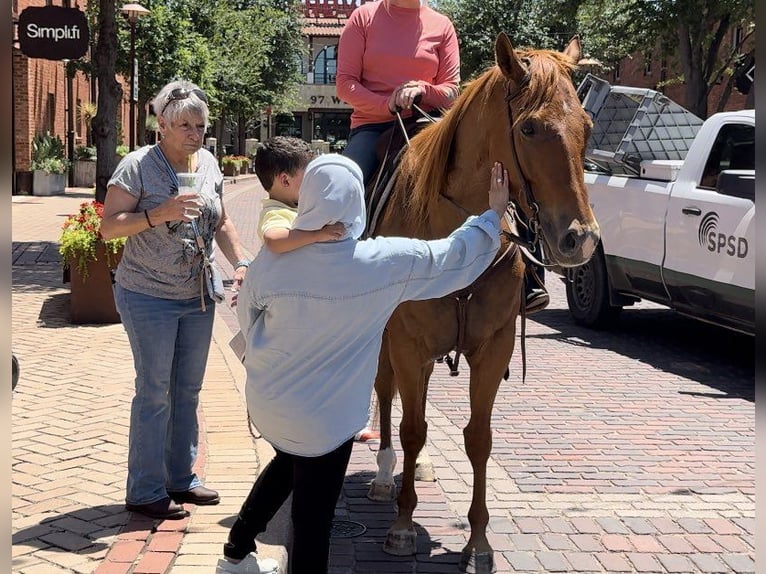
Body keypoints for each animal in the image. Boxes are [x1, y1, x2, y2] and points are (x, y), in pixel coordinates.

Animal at [368, 33, 604, 572]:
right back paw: (386, 475)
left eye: (587, 127)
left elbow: (478, 438)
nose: (580, 239)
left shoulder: (493, 349)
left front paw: (478, 542)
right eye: (530, 128)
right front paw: (403, 524)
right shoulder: (407, 345)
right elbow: (411, 428)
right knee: (387, 395)